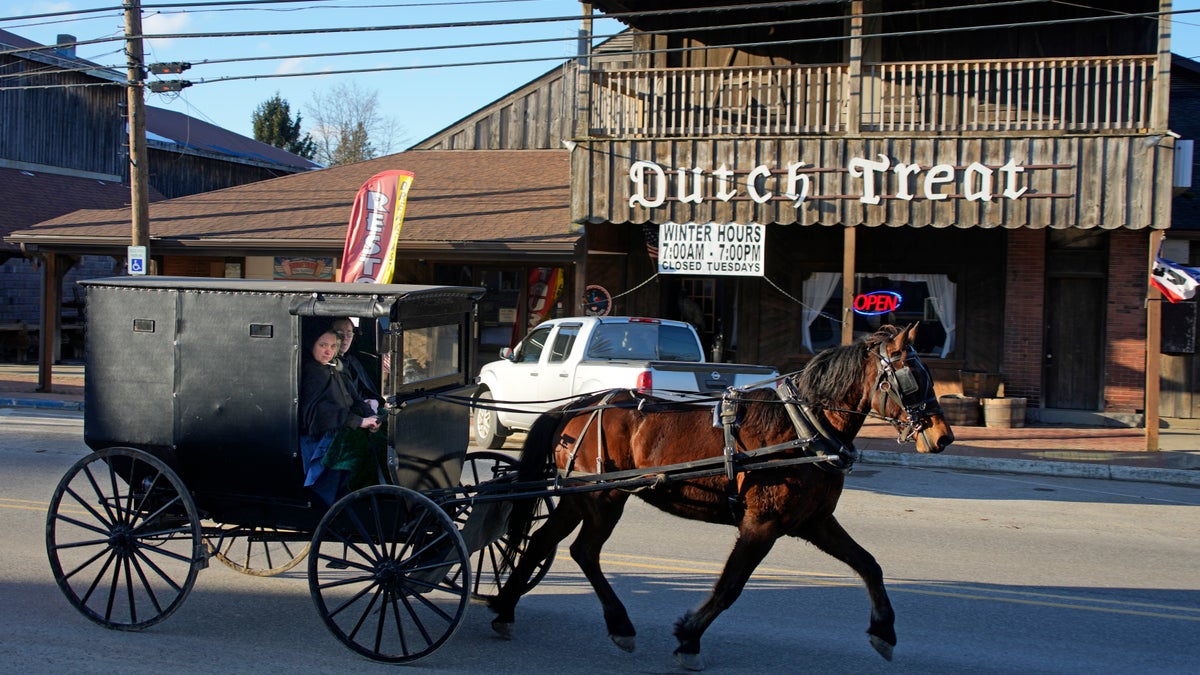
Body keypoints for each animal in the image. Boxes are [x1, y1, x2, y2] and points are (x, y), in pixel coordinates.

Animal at [487, 321, 955, 667]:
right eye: (912, 378)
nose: (944, 436)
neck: (803, 425)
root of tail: (576, 405)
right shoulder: (761, 525)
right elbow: (730, 586)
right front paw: (688, 638)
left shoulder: (815, 521)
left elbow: (869, 565)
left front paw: (885, 632)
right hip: (604, 499)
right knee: (584, 551)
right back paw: (618, 625)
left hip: (578, 496)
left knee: (543, 542)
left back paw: (506, 608)